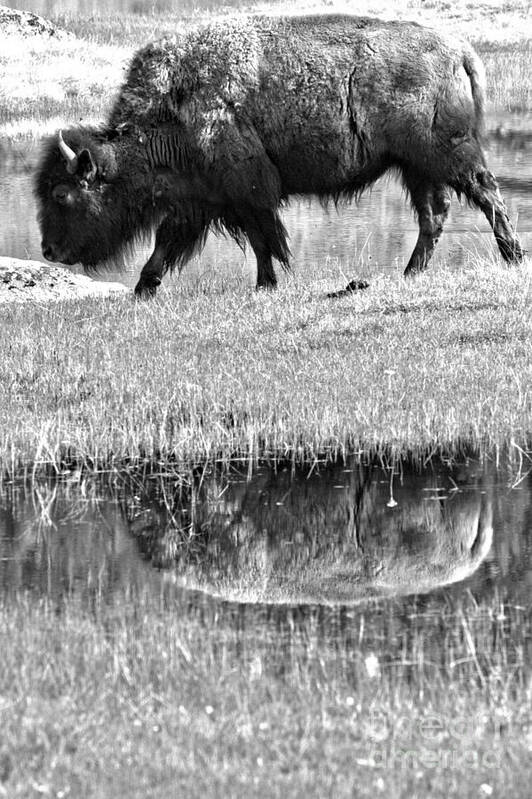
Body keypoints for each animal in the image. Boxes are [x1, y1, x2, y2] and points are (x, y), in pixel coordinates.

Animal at [34, 14, 524, 296]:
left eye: (62, 195)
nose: (49, 249)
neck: (176, 108)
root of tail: (460, 50)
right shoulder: (202, 200)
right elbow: (172, 244)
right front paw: (144, 287)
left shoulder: (246, 193)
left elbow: (263, 238)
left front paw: (269, 284)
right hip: (417, 167)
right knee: (434, 215)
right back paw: (410, 274)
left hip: (446, 155)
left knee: (486, 194)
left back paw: (513, 257)